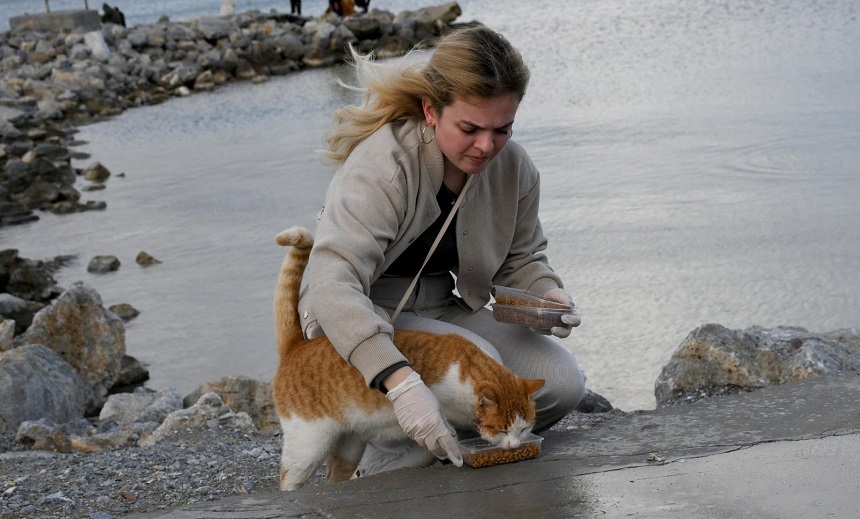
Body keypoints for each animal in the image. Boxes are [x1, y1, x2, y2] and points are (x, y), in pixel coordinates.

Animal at [274, 228, 544, 492]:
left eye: (524, 428)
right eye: (502, 429)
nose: (514, 445)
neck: (463, 373)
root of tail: (295, 347)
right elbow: (442, 427)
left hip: (349, 445)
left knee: (334, 475)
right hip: (308, 447)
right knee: (289, 479)